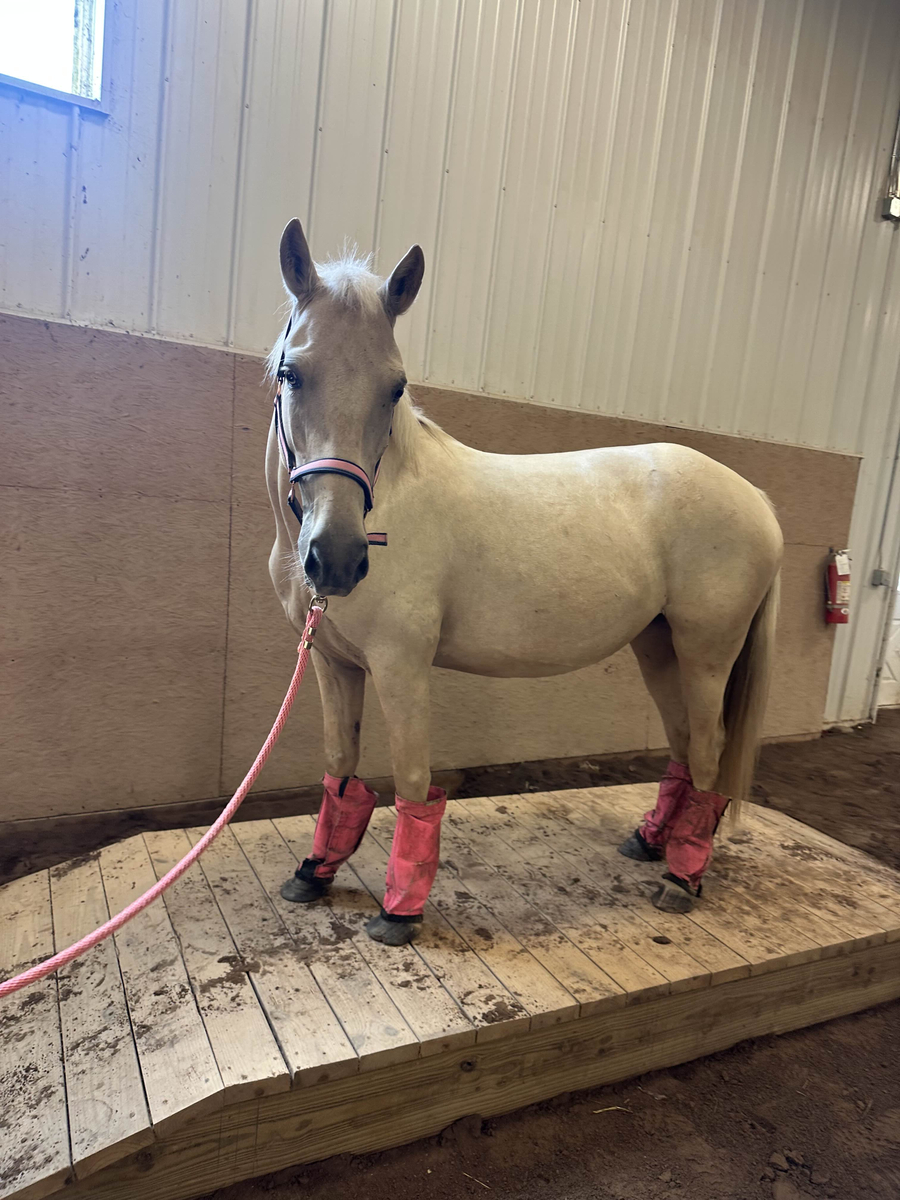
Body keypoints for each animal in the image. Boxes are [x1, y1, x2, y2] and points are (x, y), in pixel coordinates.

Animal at [265, 219, 783, 946]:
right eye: (292, 372)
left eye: (395, 388)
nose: (337, 559)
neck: (390, 500)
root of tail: (755, 497)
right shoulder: (334, 664)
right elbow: (341, 769)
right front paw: (313, 875)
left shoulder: (400, 665)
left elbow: (413, 781)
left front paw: (400, 911)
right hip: (658, 646)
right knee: (684, 744)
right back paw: (650, 842)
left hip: (708, 653)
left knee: (709, 750)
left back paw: (682, 879)